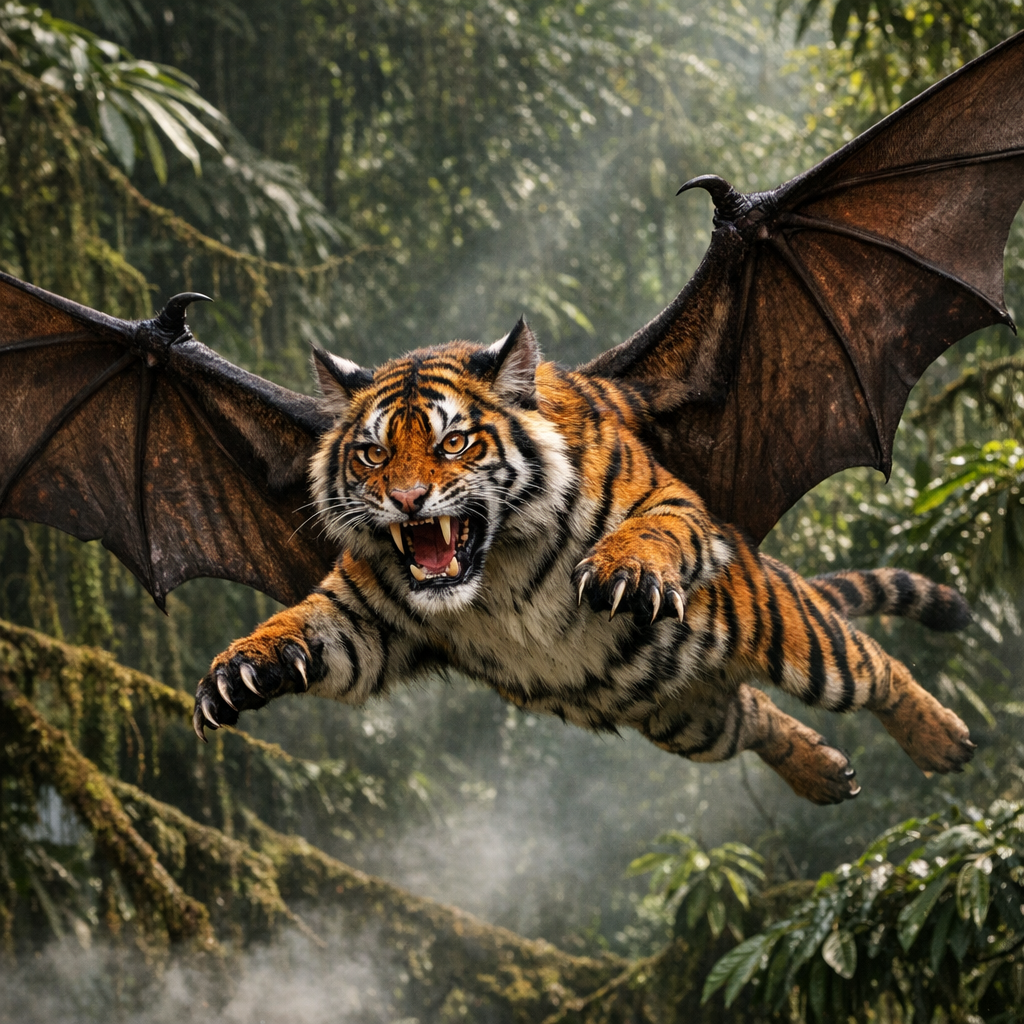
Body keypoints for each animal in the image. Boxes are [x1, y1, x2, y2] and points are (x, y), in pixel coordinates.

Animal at [192, 320, 975, 805]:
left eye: (453, 443)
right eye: (373, 454)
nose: (408, 499)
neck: (495, 567)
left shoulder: (670, 501)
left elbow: (653, 530)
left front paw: (626, 573)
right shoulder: (364, 614)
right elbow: (309, 626)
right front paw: (238, 673)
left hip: (790, 635)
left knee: (873, 669)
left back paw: (945, 741)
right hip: (685, 716)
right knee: (755, 717)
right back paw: (825, 774)